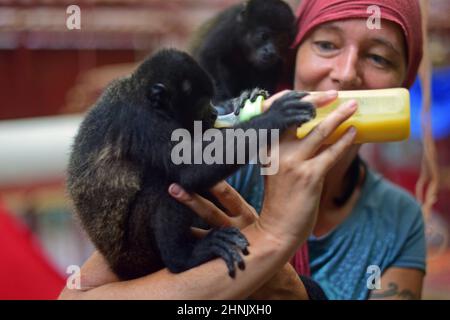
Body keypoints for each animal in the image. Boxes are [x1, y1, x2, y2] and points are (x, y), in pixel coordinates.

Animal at [67, 48, 316, 280]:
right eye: (201, 103)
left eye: (212, 102)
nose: (214, 111)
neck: (142, 94)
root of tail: (118, 267)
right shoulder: (142, 119)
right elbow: (191, 169)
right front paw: (275, 117)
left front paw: (242, 100)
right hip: (137, 253)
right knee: (164, 182)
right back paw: (183, 259)